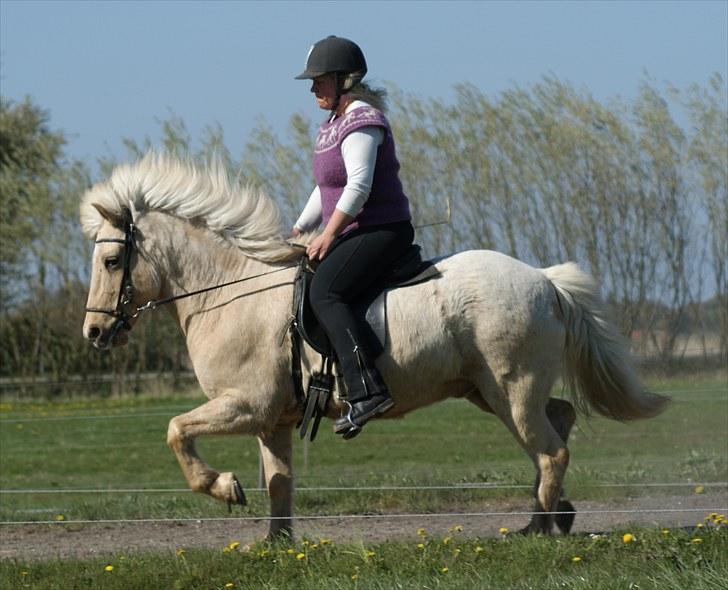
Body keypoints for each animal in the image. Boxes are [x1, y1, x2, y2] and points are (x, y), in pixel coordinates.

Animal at [81, 154, 672, 540]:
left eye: (111, 261)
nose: (93, 333)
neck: (229, 291)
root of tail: (545, 279)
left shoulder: (244, 405)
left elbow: (176, 430)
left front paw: (224, 487)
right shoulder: (271, 419)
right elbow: (279, 483)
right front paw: (276, 546)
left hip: (512, 390)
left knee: (551, 448)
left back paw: (541, 528)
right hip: (488, 392)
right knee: (560, 420)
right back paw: (551, 515)